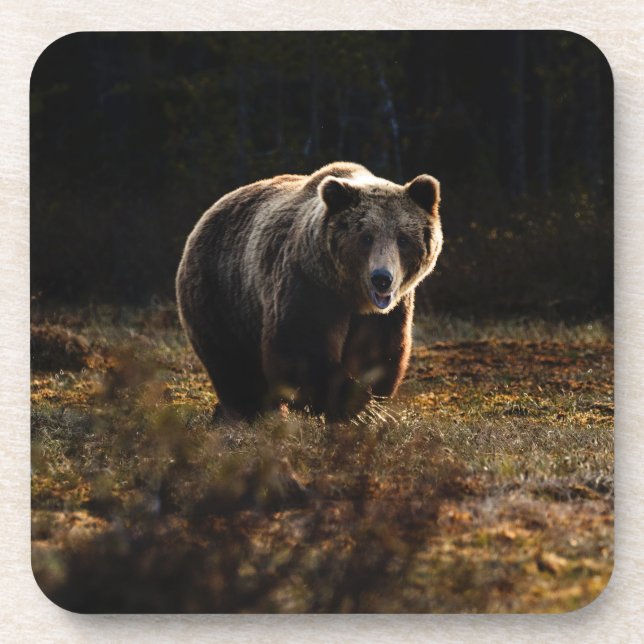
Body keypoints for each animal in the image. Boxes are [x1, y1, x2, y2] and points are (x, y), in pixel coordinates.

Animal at [176, 162, 442, 422]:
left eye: (403, 239)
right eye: (366, 237)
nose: (382, 279)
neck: (350, 295)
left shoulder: (387, 312)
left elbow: (378, 352)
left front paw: (367, 404)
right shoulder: (308, 285)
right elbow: (301, 348)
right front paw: (354, 407)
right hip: (222, 294)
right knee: (233, 363)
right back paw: (249, 411)